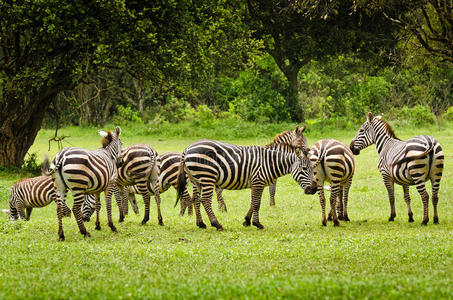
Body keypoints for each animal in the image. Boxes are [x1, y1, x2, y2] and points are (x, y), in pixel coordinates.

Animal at [177, 125, 308, 231]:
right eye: (301, 141)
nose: (309, 152)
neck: (270, 159)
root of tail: (187, 149)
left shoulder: (257, 182)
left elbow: (253, 202)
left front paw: (247, 220)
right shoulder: (264, 180)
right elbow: (268, 194)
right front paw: (270, 207)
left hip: (196, 179)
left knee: (196, 199)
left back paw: (201, 223)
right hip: (207, 177)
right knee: (206, 199)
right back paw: (217, 223)